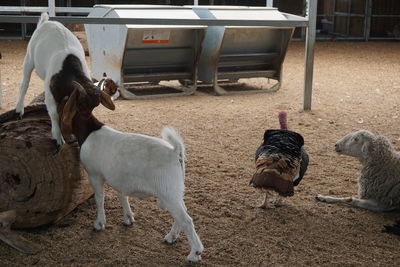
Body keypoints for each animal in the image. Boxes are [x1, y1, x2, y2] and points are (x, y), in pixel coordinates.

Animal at [15, 12, 91, 146]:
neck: (68, 69)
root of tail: (46, 22)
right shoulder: (51, 93)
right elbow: (55, 114)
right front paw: (58, 137)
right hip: (29, 58)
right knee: (24, 84)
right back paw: (19, 109)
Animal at [59, 86, 203, 264]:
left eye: (68, 100)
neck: (90, 131)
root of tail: (175, 151)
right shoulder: (120, 179)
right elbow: (122, 195)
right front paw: (128, 218)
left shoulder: (94, 175)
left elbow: (100, 199)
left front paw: (99, 223)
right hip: (174, 191)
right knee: (182, 213)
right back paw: (171, 237)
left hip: (168, 191)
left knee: (186, 220)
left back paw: (194, 253)